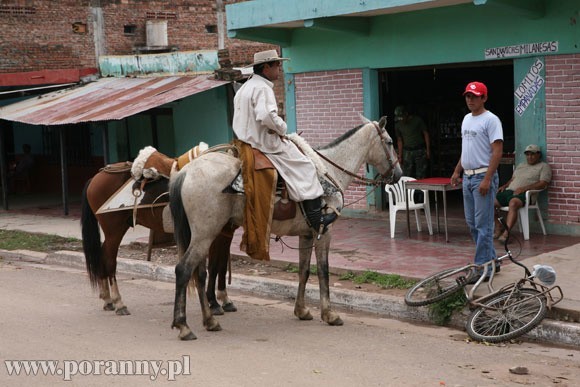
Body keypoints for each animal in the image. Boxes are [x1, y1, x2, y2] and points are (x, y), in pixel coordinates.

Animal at [81, 147, 236, 316]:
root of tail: (95, 178)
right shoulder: (213, 234)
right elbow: (214, 266)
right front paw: (213, 303)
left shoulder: (226, 234)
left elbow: (221, 265)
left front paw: (225, 299)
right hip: (114, 231)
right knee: (109, 260)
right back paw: (118, 302)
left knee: (102, 255)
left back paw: (107, 299)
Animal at [170, 116, 402, 342]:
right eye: (390, 142)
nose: (398, 174)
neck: (330, 171)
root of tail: (186, 171)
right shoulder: (324, 232)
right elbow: (323, 271)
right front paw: (329, 314)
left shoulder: (306, 235)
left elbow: (304, 271)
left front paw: (301, 310)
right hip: (205, 235)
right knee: (184, 270)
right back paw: (184, 326)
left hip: (204, 235)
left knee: (200, 274)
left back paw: (210, 320)